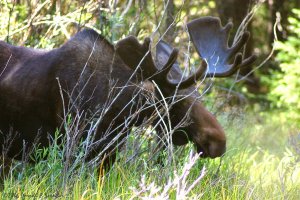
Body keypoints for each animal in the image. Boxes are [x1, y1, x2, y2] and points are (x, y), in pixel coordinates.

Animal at [0, 17, 255, 173]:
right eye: (176, 102)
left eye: (199, 95)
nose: (219, 141)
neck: (119, 112)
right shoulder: (69, 150)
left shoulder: (107, 155)